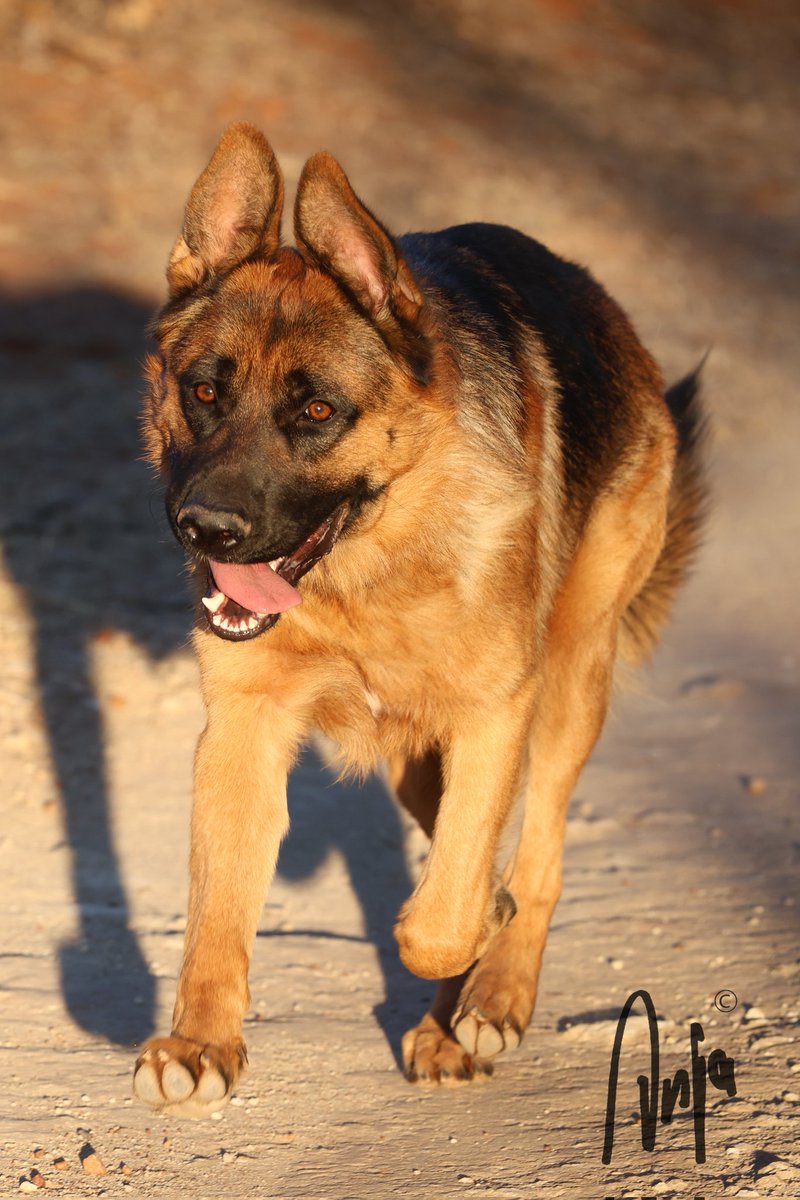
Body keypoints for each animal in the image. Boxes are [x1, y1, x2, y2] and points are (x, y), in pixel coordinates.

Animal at [134, 124, 705, 1113]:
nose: (206, 530)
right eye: (203, 392)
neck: (363, 576)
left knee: (538, 852)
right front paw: (201, 1044)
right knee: (462, 836)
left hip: (569, 686)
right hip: (418, 757)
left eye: (317, 409)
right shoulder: (244, 730)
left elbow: (443, 917)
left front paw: (472, 940)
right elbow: (220, 907)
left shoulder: (494, 715)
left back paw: (490, 997)